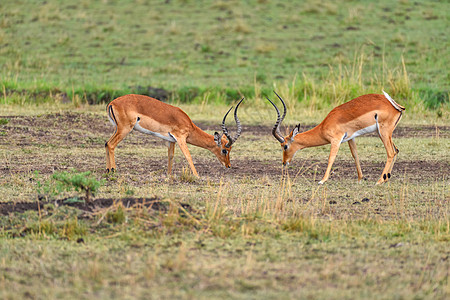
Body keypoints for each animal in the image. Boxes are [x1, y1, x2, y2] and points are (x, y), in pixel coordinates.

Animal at [104, 95, 244, 177]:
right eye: (224, 150)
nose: (228, 165)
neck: (189, 125)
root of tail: (112, 103)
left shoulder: (171, 140)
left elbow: (170, 156)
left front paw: (169, 175)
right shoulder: (180, 138)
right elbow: (188, 156)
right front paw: (197, 176)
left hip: (117, 129)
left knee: (106, 143)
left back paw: (107, 170)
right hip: (125, 129)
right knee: (111, 144)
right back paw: (114, 171)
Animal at [268, 91, 406, 185]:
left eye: (285, 146)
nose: (284, 162)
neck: (325, 125)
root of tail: (397, 106)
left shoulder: (336, 140)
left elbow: (331, 158)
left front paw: (322, 180)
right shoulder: (351, 138)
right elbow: (355, 155)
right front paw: (360, 178)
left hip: (383, 132)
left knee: (391, 152)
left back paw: (379, 181)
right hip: (385, 134)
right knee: (396, 150)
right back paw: (386, 178)